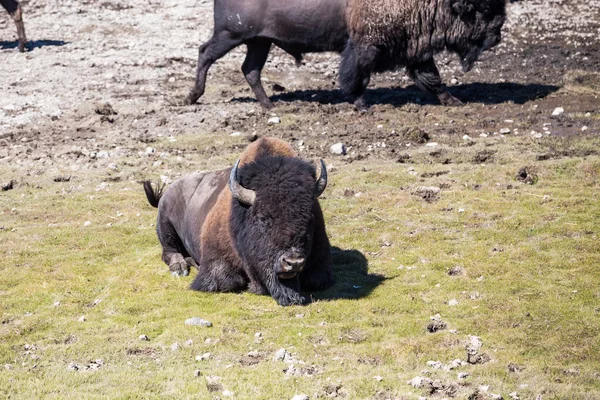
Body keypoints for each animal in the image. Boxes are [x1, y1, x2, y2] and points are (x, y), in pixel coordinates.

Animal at [144, 138, 336, 306]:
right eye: (263, 218)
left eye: (309, 218)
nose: (293, 262)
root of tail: (167, 193)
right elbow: (227, 281)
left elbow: (315, 280)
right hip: (165, 226)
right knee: (169, 251)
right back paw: (181, 267)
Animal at [184, 0, 506, 110]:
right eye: (482, 9)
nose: (497, 34)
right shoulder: (365, 47)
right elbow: (357, 76)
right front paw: (361, 104)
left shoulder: (416, 50)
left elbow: (432, 78)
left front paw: (453, 101)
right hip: (231, 36)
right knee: (205, 53)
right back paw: (192, 97)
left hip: (259, 42)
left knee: (250, 69)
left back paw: (269, 105)